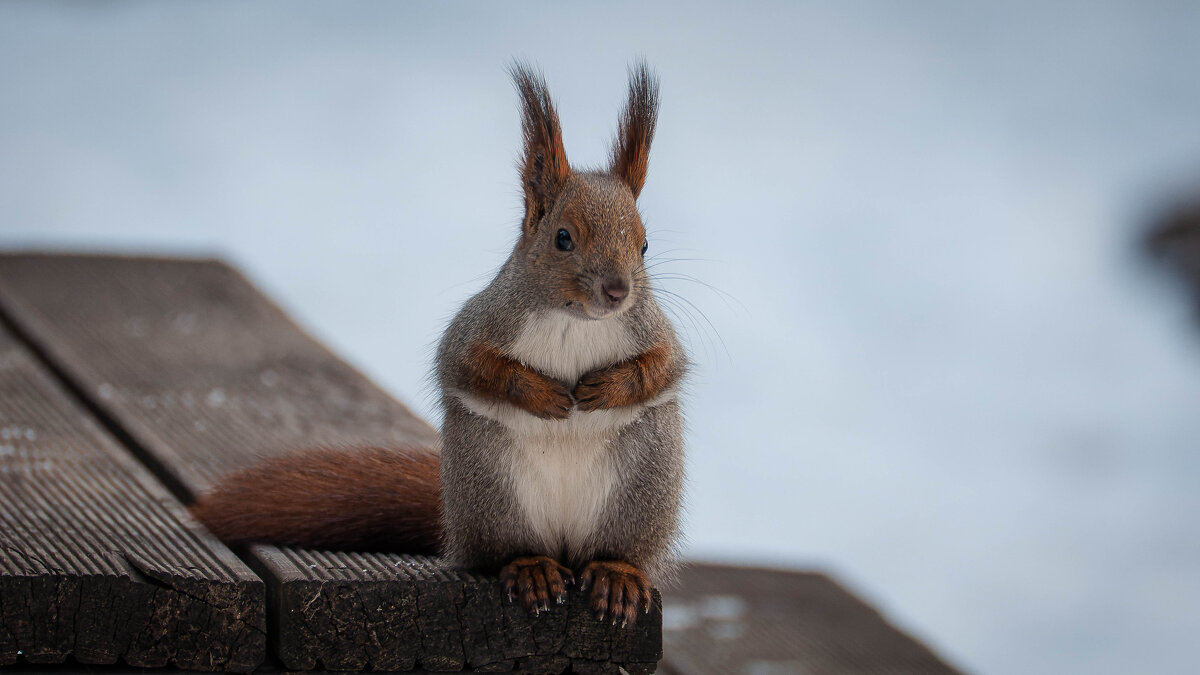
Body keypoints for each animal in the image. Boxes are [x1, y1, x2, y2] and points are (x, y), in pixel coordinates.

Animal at [192, 63, 691, 624]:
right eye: (562, 238)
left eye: (644, 244)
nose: (617, 291)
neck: (576, 319)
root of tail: (564, 548)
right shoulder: (481, 325)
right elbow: (467, 366)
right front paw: (540, 393)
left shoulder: (651, 329)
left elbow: (665, 366)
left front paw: (607, 388)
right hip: (490, 485)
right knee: (502, 552)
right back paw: (531, 567)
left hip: (642, 483)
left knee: (618, 549)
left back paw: (615, 573)